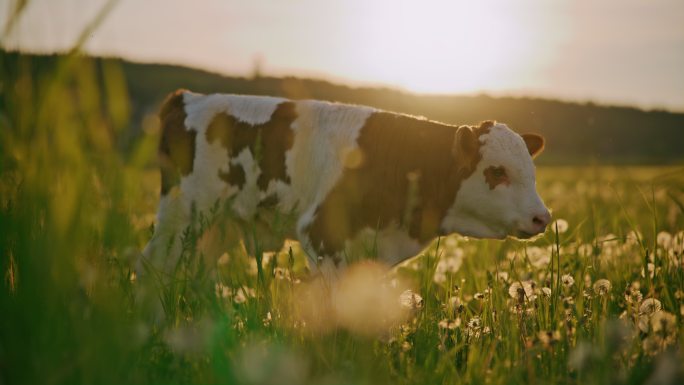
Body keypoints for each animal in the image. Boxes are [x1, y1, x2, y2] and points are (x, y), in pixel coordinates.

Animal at [139, 89, 552, 276]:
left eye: (531, 172)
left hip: (218, 225)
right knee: (152, 268)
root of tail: (188, 98)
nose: (542, 218)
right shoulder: (321, 236)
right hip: (182, 216)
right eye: (497, 172)